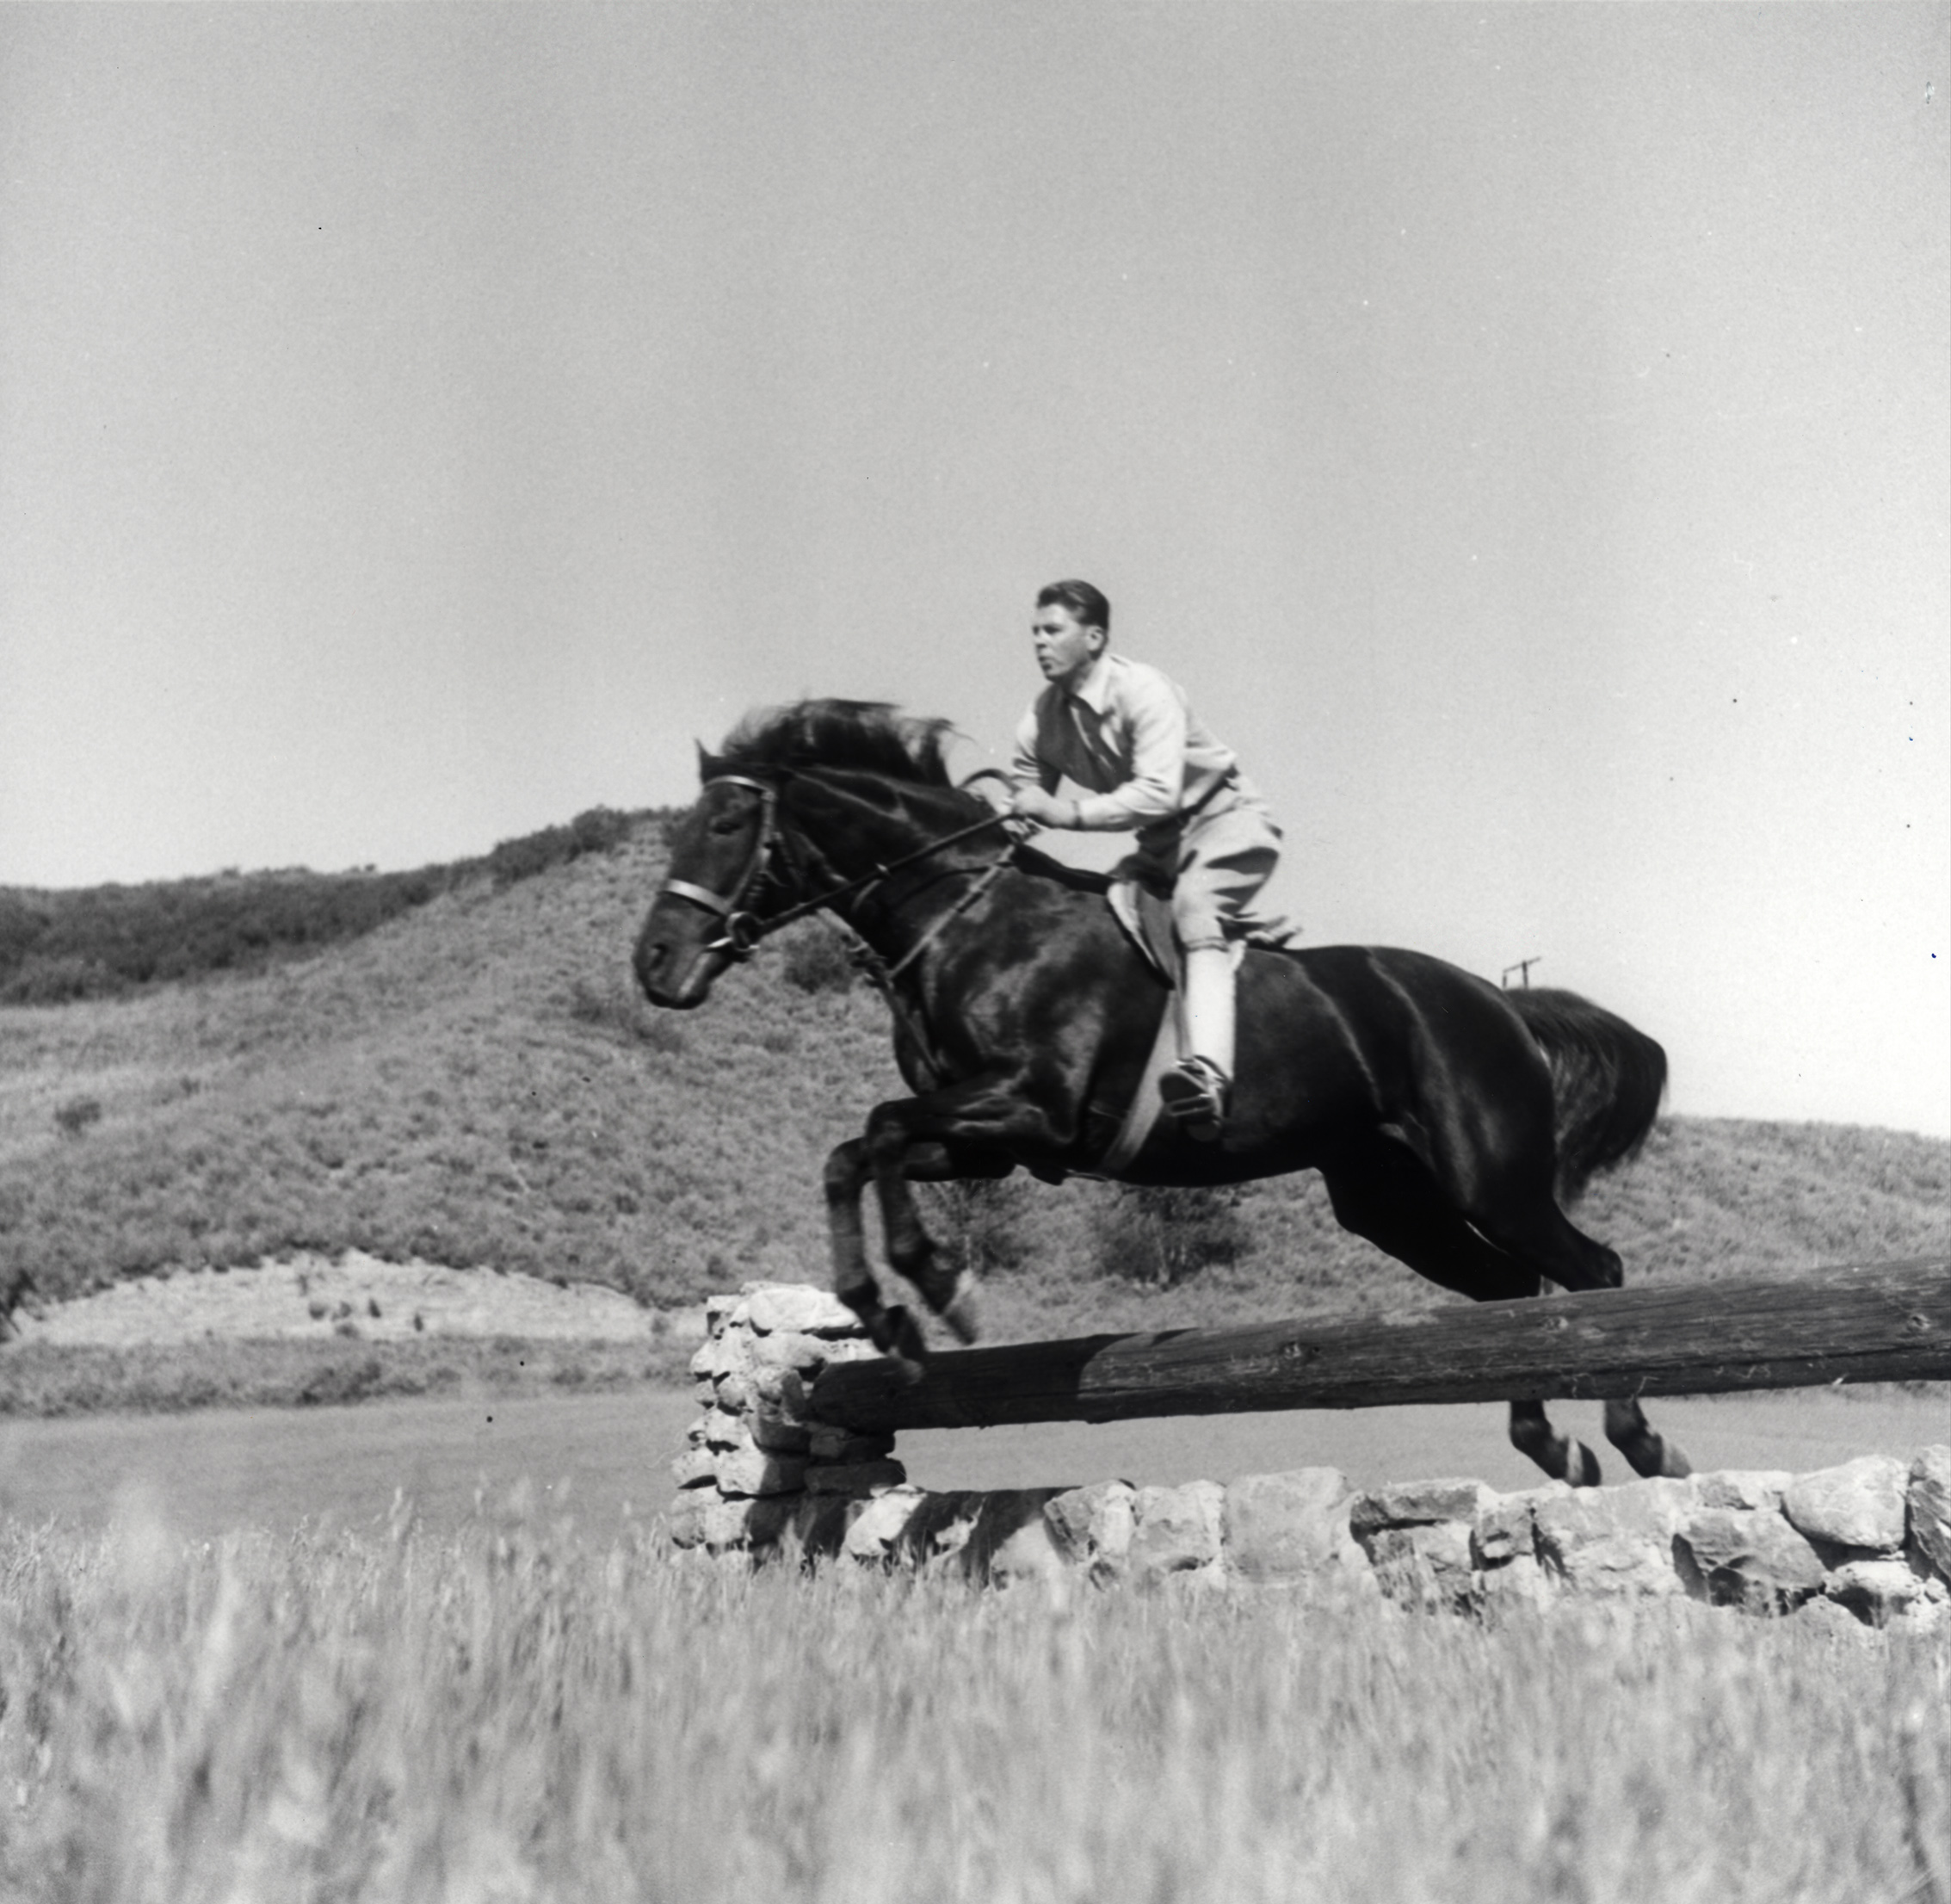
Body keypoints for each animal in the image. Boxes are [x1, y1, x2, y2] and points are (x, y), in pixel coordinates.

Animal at [639, 698, 1693, 1490]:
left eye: (726, 826)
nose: (654, 963)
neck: (967, 919)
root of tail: (1498, 997)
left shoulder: (1034, 1109)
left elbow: (881, 1131)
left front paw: (938, 1290)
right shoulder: (994, 1140)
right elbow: (858, 1148)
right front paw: (886, 1306)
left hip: (1489, 1176)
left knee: (1590, 1268)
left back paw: (1638, 1440)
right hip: (1389, 1200)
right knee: (1508, 1293)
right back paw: (1554, 1448)